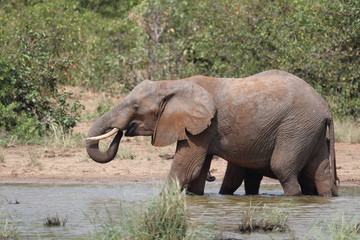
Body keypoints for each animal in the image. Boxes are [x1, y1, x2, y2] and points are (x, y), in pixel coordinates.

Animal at [86, 70, 338, 197]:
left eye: (136, 107)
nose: (123, 131)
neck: (173, 84)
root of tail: (326, 108)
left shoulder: (204, 126)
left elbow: (187, 166)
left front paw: (163, 200)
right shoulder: (200, 127)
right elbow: (197, 171)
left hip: (296, 127)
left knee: (283, 168)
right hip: (309, 131)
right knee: (319, 172)